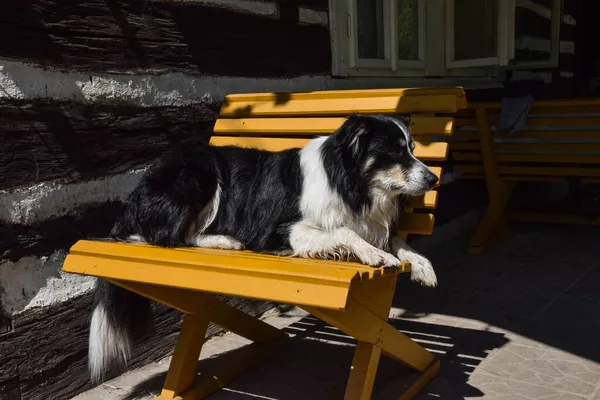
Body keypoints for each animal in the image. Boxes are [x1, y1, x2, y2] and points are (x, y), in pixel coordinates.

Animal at [88, 115, 436, 382]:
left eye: (412, 149)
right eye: (394, 151)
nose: (433, 179)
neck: (349, 183)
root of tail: (135, 196)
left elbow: (394, 238)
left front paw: (421, 264)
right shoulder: (286, 229)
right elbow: (346, 231)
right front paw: (377, 254)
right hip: (201, 173)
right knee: (168, 235)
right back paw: (223, 240)